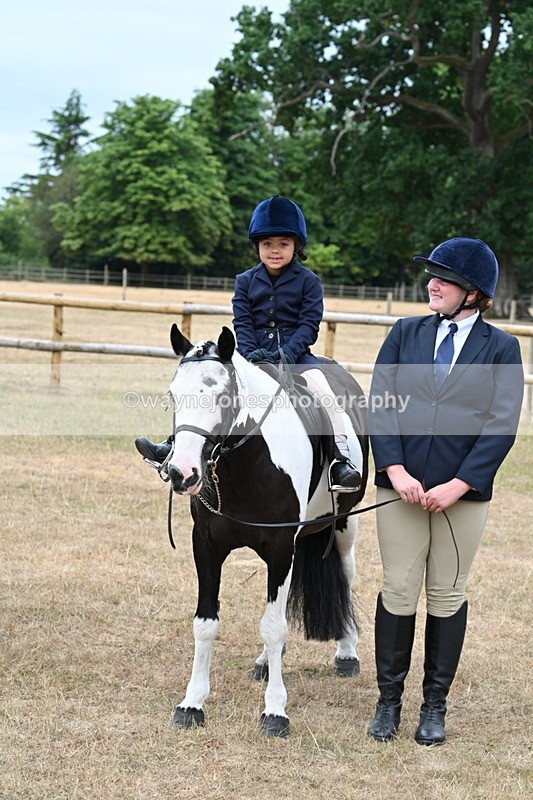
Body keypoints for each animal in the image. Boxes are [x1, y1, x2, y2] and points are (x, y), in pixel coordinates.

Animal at [163, 324, 369, 738]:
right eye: (174, 394)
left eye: (222, 395)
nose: (181, 473)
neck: (246, 465)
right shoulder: (205, 546)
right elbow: (205, 624)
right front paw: (192, 703)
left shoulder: (280, 549)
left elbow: (274, 627)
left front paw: (275, 712)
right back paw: (263, 662)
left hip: (344, 526)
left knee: (345, 576)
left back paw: (346, 653)